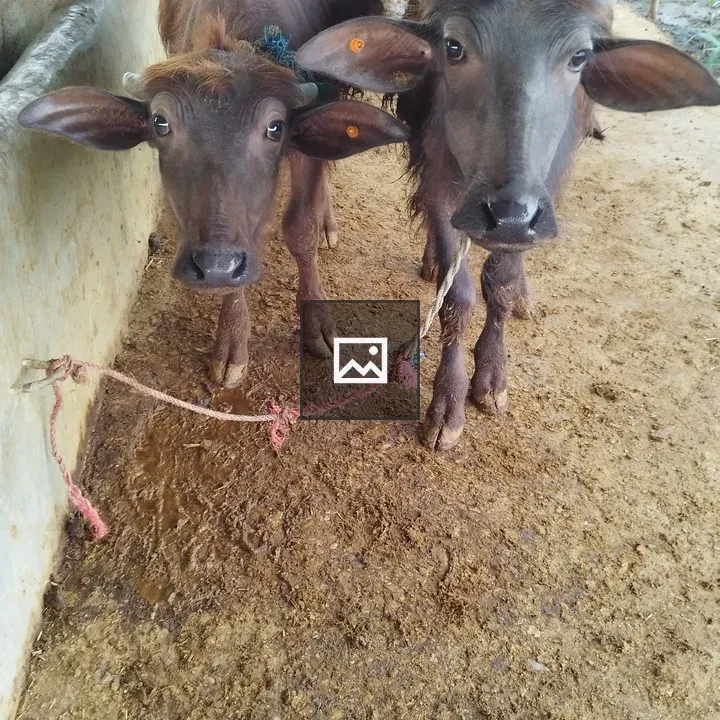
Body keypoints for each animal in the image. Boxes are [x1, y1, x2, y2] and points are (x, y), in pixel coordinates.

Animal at [18, 0, 429, 387]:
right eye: (160, 123)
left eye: (275, 127)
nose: (215, 264)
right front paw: (231, 341)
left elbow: (301, 229)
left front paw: (317, 322)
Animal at [296, 0, 720, 449]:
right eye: (454, 47)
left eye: (578, 58)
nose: (509, 215)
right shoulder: (439, 177)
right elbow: (458, 297)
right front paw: (447, 405)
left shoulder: (543, 196)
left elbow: (501, 283)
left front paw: (492, 375)